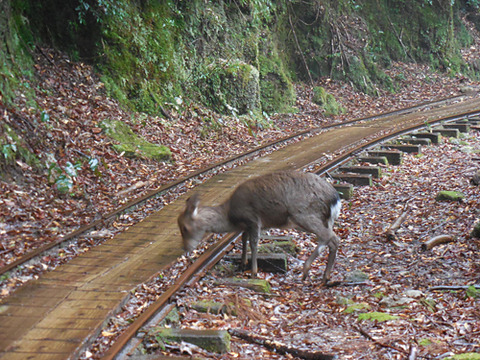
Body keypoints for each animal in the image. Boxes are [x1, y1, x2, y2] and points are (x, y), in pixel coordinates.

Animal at [179, 172, 342, 284]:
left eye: (185, 228)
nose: (186, 247)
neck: (231, 216)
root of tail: (335, 198)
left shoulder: (253, 219)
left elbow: (253, 242)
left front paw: (253, 272)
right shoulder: (246, 225)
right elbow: (243, 238)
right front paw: (243, 264)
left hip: (304, 214)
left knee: (330, 237)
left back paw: (309, 271)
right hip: (318, 220)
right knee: (330, 239)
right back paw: (323, 276)